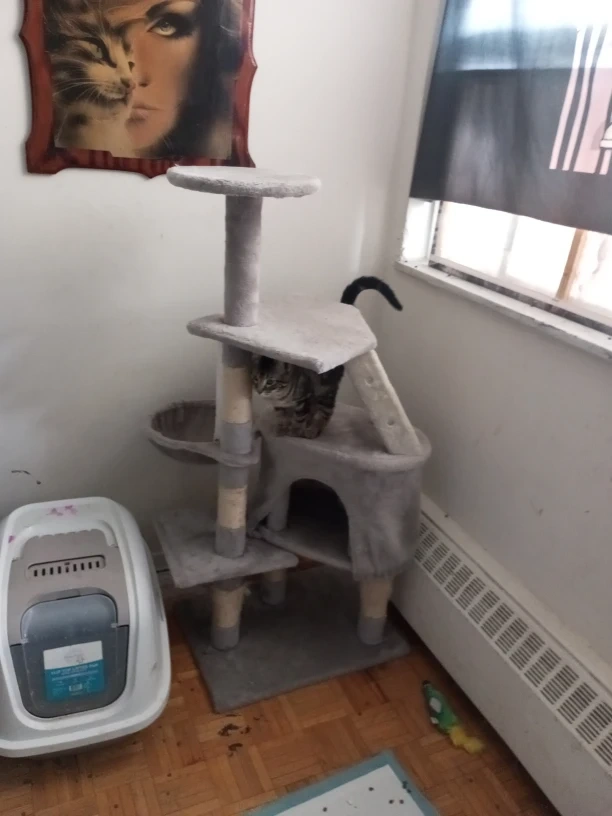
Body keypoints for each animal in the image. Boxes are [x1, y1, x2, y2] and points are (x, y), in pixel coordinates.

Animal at [252, 276, 403, 439]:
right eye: (255, 378)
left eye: (270, 381)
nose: (259, 390)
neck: (278, 396)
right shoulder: (281, 406)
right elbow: (282, 417)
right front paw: (281, 428)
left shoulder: (305, 398)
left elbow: (300, 418)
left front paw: (295, 432)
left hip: (325, 388)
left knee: (327, 411)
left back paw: (313, 430)